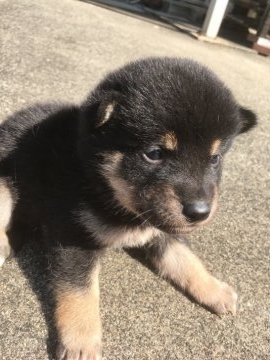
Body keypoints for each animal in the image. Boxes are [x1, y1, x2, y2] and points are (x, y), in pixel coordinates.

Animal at [0, 57, 256, 358]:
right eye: (154, 153)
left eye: (214, 158)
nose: (199, 212)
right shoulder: (73, 235)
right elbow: (80, 292)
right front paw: (81, 342)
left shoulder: (162, 230)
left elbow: (186, 260)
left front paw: (214, 289)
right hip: (5, 184)